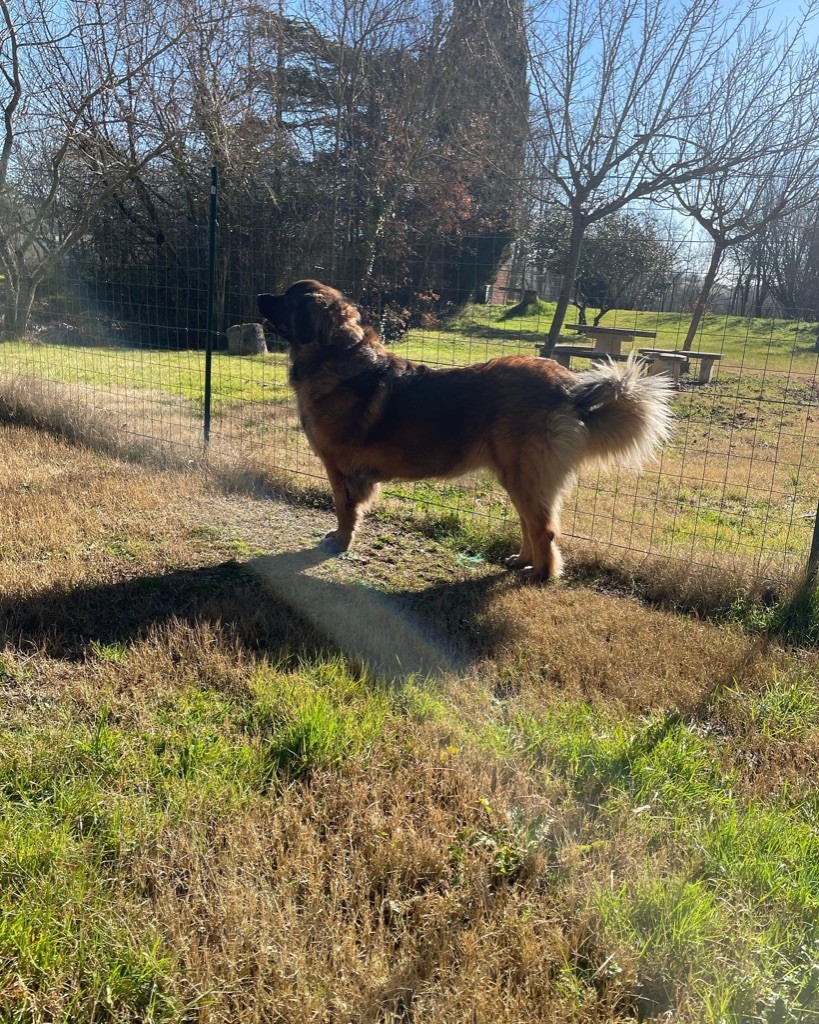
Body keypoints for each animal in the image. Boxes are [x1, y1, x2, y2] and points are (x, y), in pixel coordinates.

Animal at [257, 280, 671, 581]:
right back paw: (521, 561)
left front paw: (340, 542)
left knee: (544, 529)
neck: (336, 355)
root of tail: (568, 387)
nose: (260, 295)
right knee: (529, 522)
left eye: (286, 298)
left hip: (524, 473)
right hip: (517, 476)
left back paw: (539, 574)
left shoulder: (340, 468)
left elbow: (344, 510)